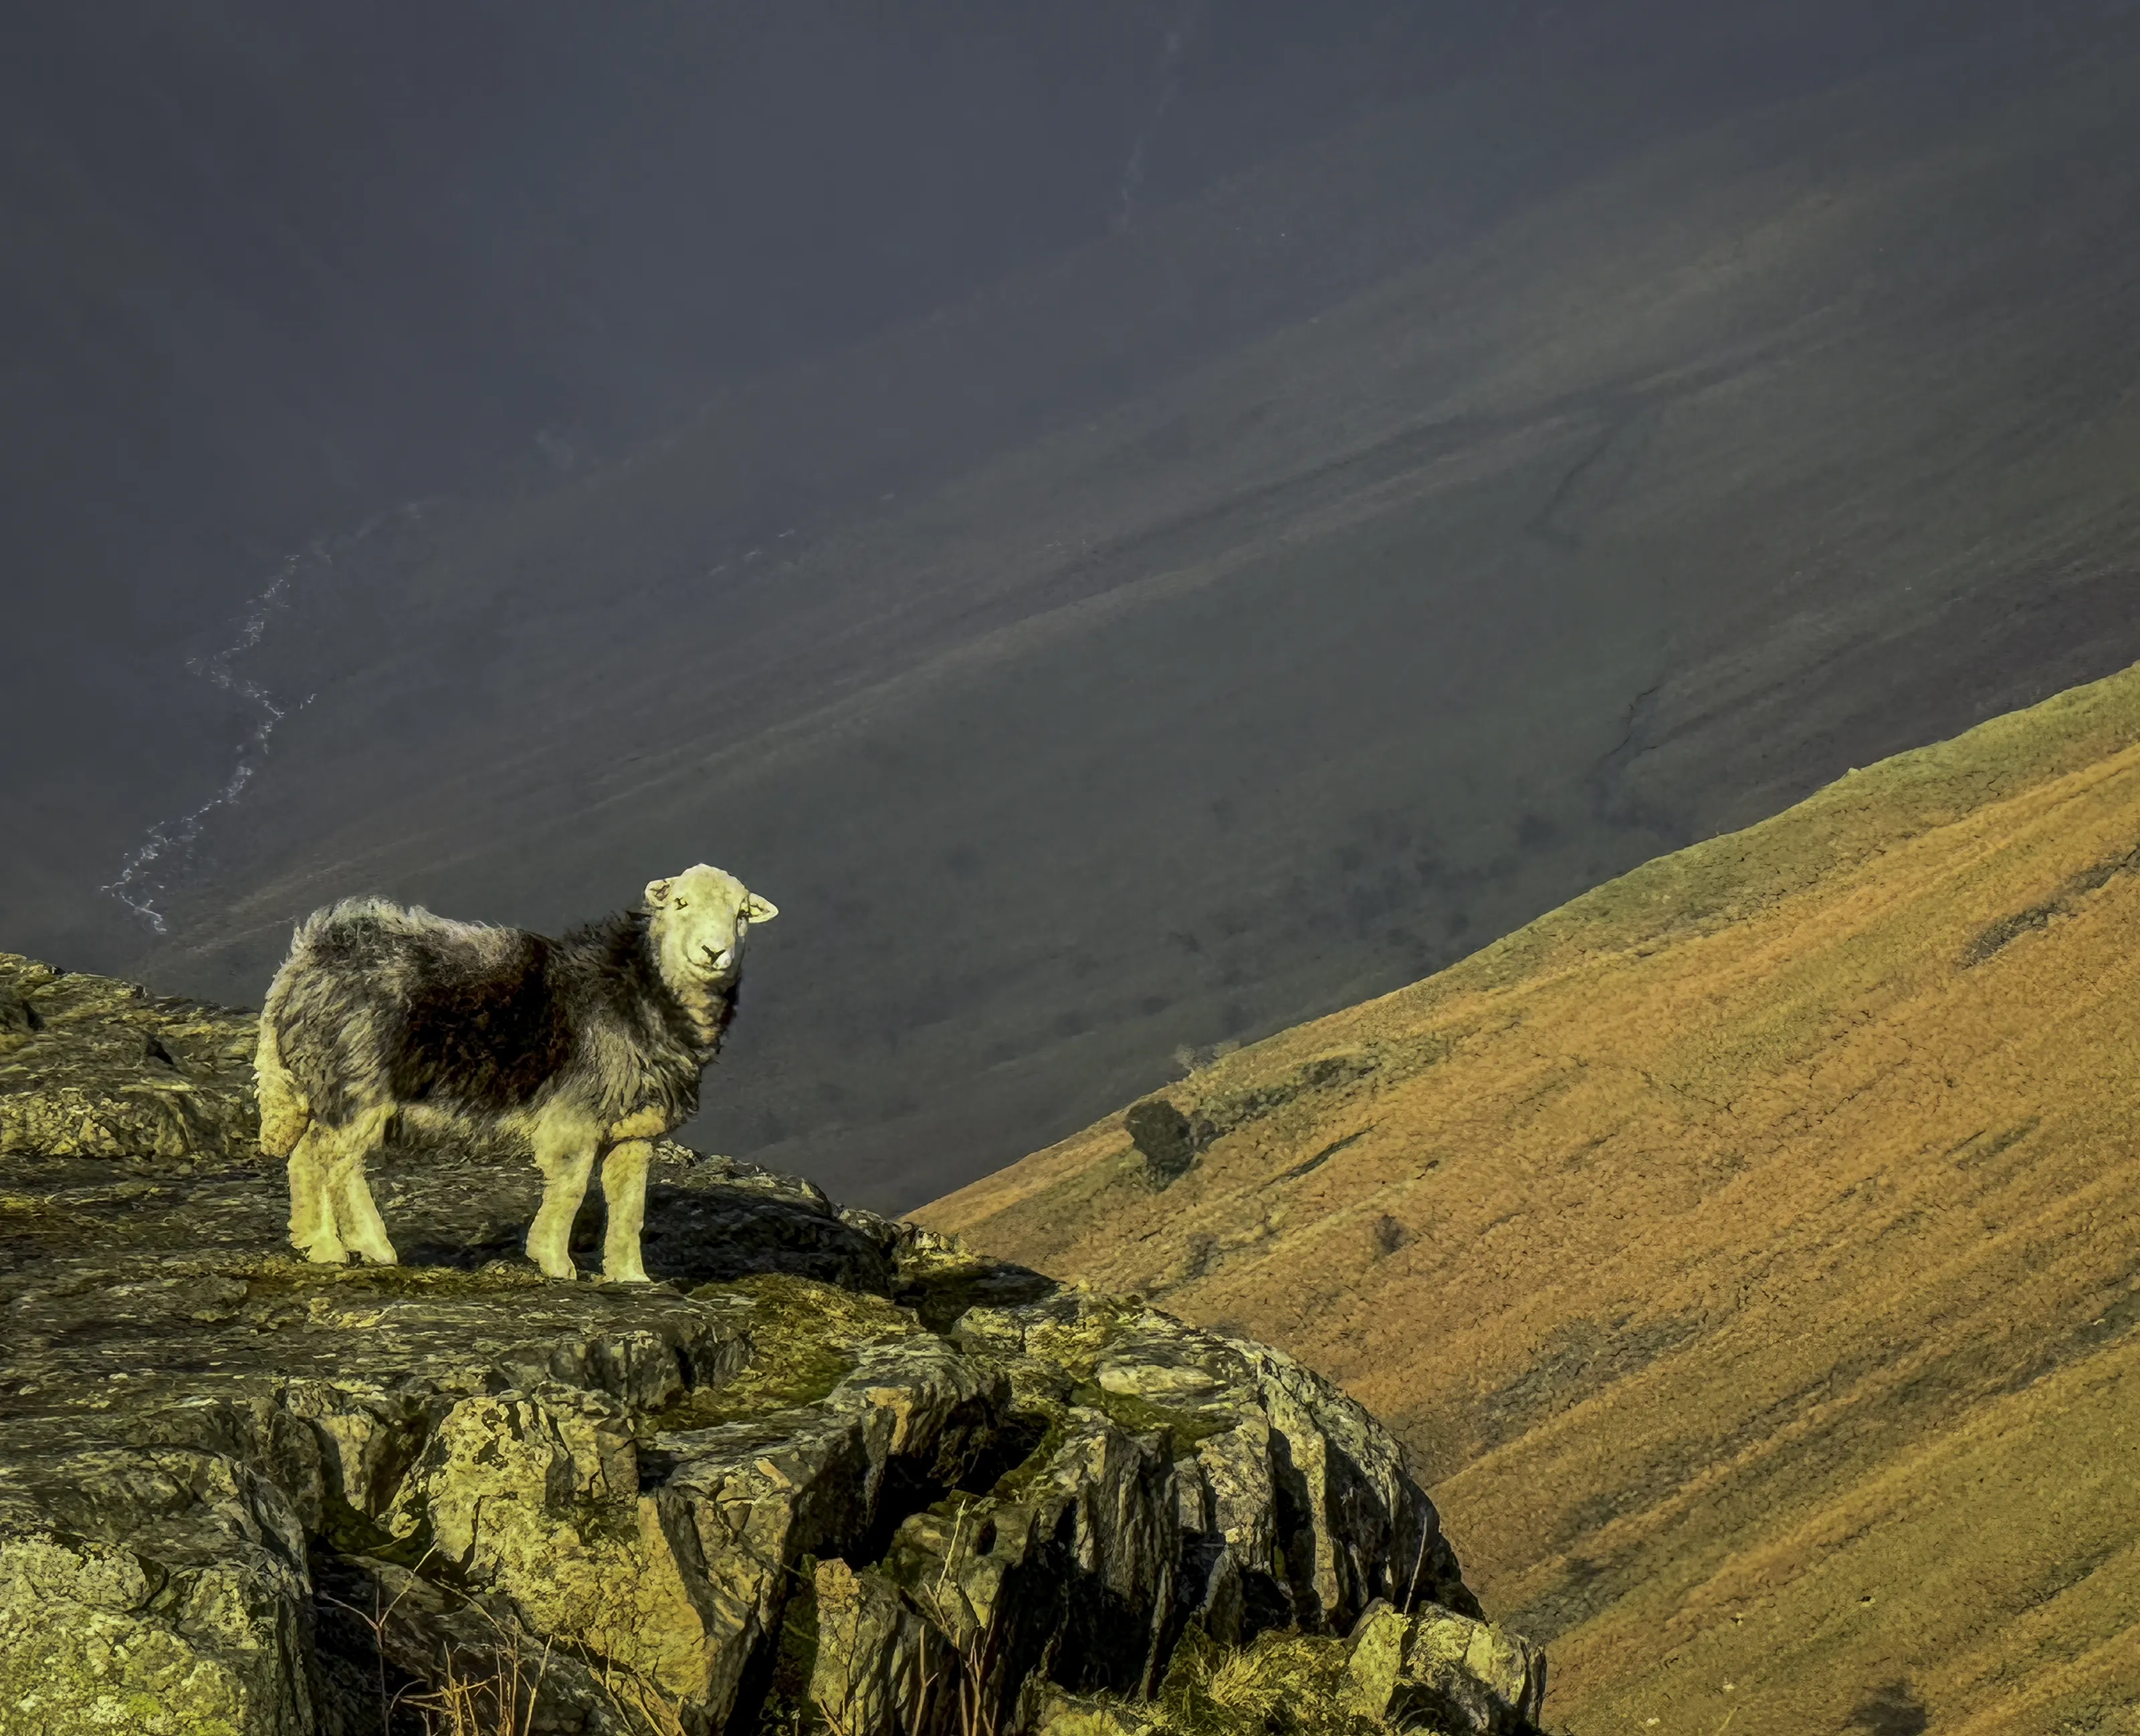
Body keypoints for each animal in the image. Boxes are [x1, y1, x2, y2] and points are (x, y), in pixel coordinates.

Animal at [254, 864, 777, 1282]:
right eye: (681, 903)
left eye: (742, 914)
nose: (714, 953)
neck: (641, 992)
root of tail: (305, 961)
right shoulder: (576, 1117)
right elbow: (571, 1187)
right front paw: (554, 1262)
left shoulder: (635, 1130)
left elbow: (630, 1206)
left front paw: (631, 1277)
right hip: (360, 1080)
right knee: (338, 1161)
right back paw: (371, 1246)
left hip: (329, 1084)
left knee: (307, 1155)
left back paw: (321, 1246)